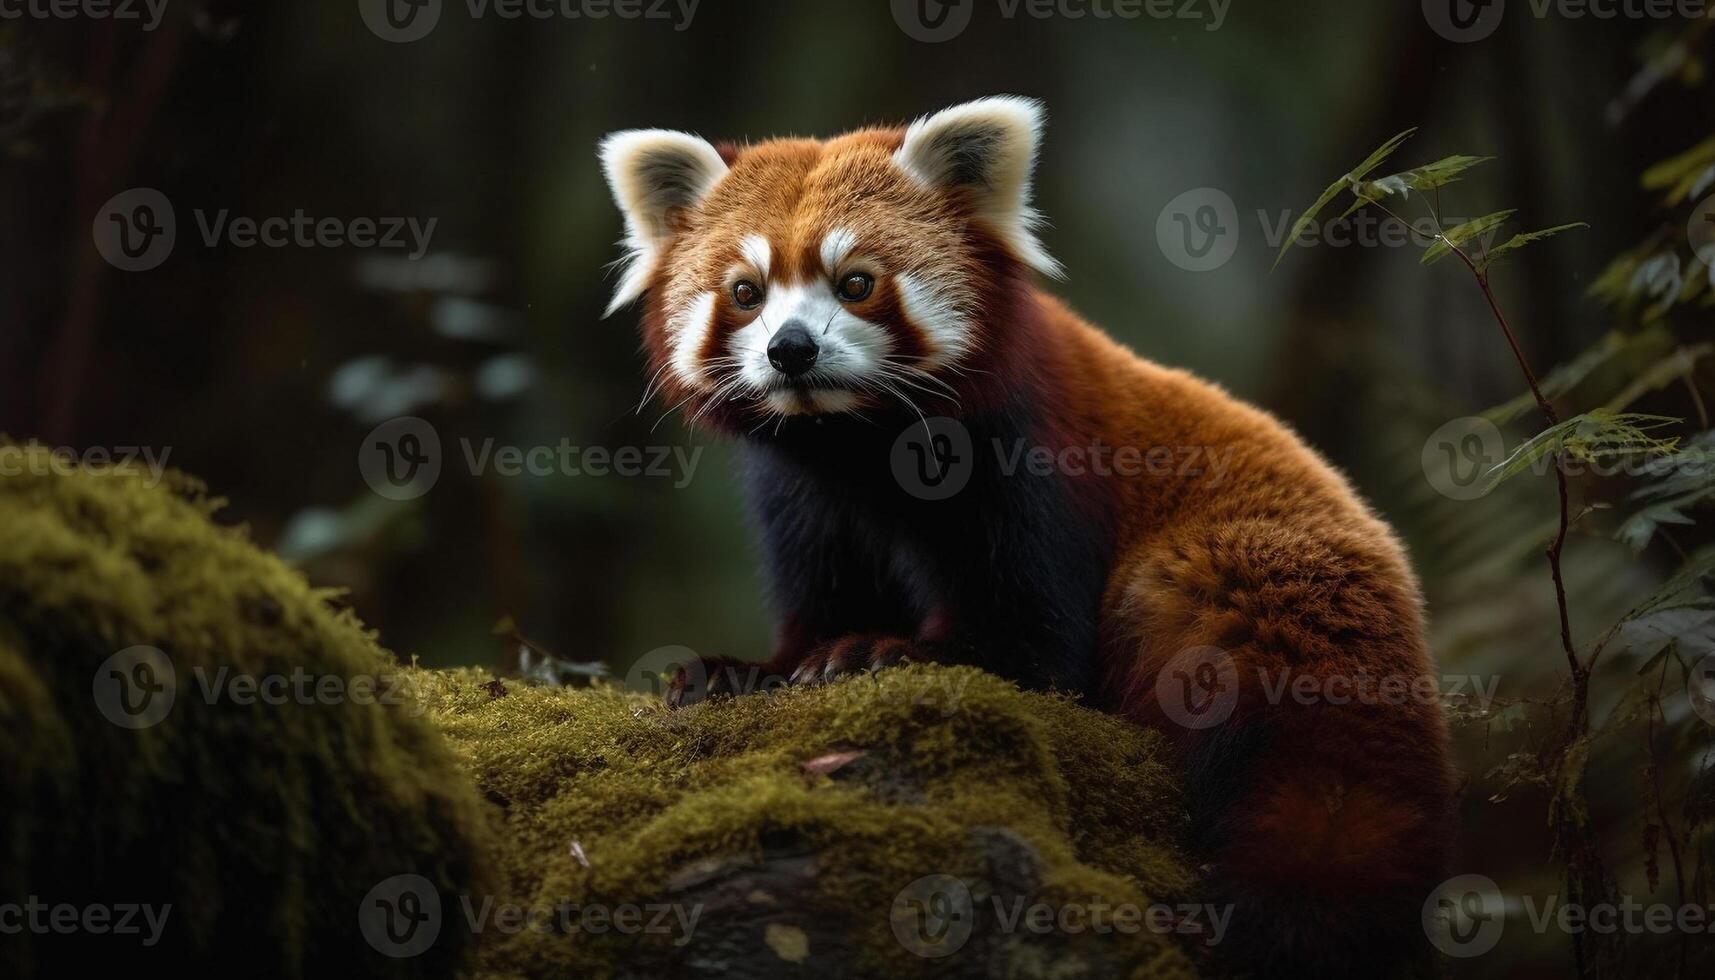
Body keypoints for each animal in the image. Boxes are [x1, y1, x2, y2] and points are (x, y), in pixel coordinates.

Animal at [596, 95, 1454, 974]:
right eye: (744, 291)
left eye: (856, 282)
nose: (789, 348)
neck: (856, 445)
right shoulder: (806, 498)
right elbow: (822, 592)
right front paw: (744, 671)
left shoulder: (1028, 461)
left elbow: (1034, 643)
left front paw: (879, 651)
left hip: (1245, 580)